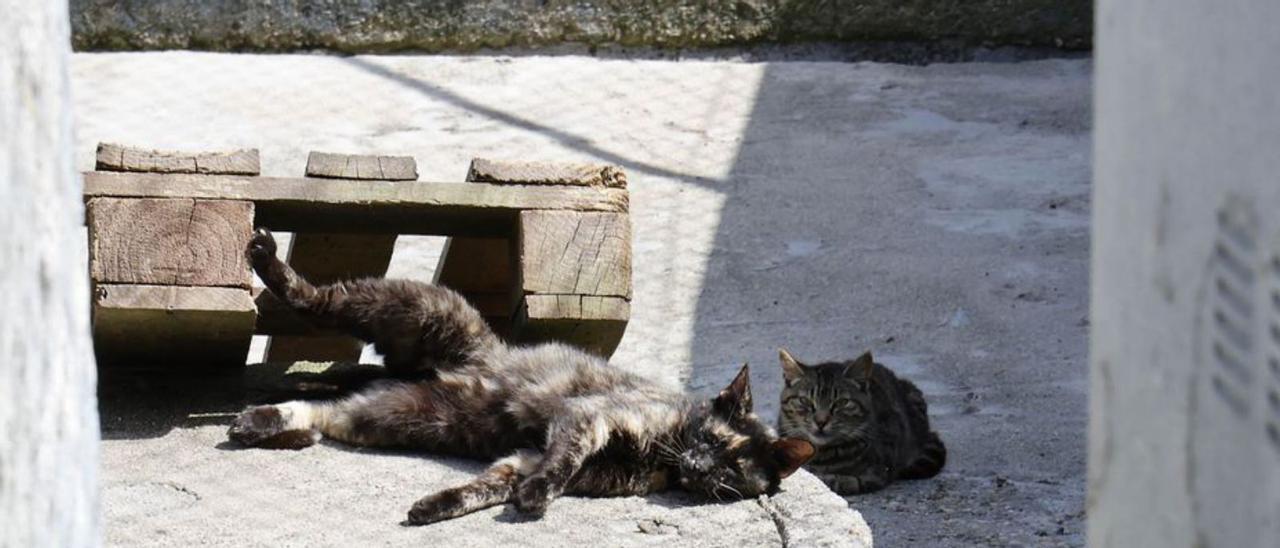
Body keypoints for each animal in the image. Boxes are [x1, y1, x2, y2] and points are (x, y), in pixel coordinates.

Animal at [226, 229, 814, 524]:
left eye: (733, 466)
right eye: (709, 440)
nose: (698, 466)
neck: (663, 454)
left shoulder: (528, 457)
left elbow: (487, 488)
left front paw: (435, 507)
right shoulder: (586, 420)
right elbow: (560, 464)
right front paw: (535, 500)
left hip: (404, 416)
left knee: (326, 414)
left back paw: (261, 422)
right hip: (414, 308)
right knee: (319, 302)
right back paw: (266, 260)